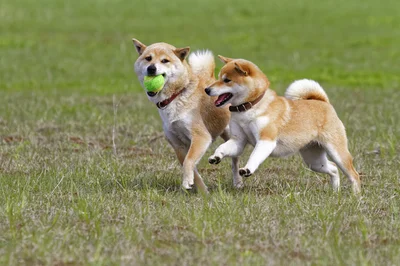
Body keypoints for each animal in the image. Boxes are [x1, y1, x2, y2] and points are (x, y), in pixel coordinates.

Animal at [132, 39, 241, 192]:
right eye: (148, 58)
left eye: (164, 60)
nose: (151, 68)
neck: (176, 95)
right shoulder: (178, 144)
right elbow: (190, 167)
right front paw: (201, 190)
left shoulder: (200, 137)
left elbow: (188, 161)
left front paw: (189, 183)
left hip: (231, 133)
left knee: (235, 160)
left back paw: (237, 181)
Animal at [206, 56, 362, 193]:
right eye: (218, 77)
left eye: (227, 80)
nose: (207, 89)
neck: (250, 107)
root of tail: (324, 102)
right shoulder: (238, 141)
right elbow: (222, 147)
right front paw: (216, 156)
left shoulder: (266, 140)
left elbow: (254, 156)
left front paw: (248, 169)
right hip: (314, 160)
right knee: (334, 168)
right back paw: (336, 192)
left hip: (336, 152)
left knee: (354, 175)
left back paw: (355, 196)